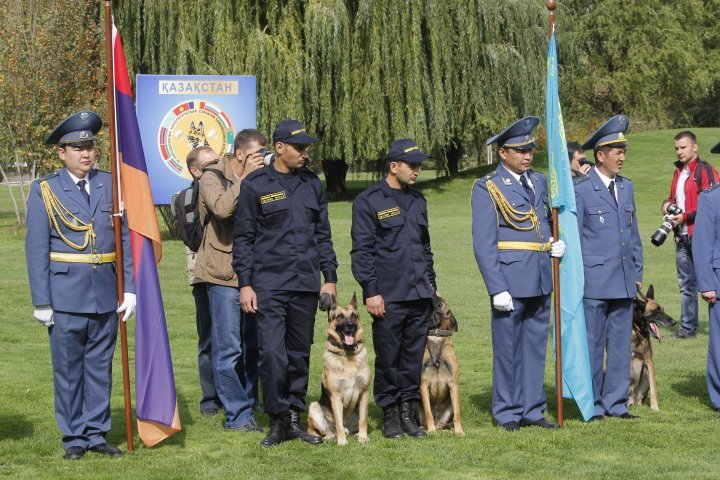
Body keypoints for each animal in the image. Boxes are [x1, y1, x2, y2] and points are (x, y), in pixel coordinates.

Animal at [306, 292, 372, 446]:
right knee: (327, 431)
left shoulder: (364, 392)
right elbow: (339, 422)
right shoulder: (336, 396)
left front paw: (363, 437)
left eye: (353, 316)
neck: (347, 354)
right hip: (314, 407)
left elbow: (363, 419)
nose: (350, 326)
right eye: (340, 316)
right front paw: (342, 442)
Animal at [416, 294, 466, 436]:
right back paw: (426, 428)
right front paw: (431, 431)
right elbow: (428, 413)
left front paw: (459, 431)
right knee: (427, 419)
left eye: (442, 301)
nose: (434, 293)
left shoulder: (453, 385)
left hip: (450, 404)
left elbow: (457, 415)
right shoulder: (423, 385)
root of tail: (438, 422)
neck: (436, 335)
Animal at [632, 284, 676, 412]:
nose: (674, 322)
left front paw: (655, 407)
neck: (638, 332)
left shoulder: (649, 362)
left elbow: (654, 387)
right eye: (656, 311)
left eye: (663, 309)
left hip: (645, 376)